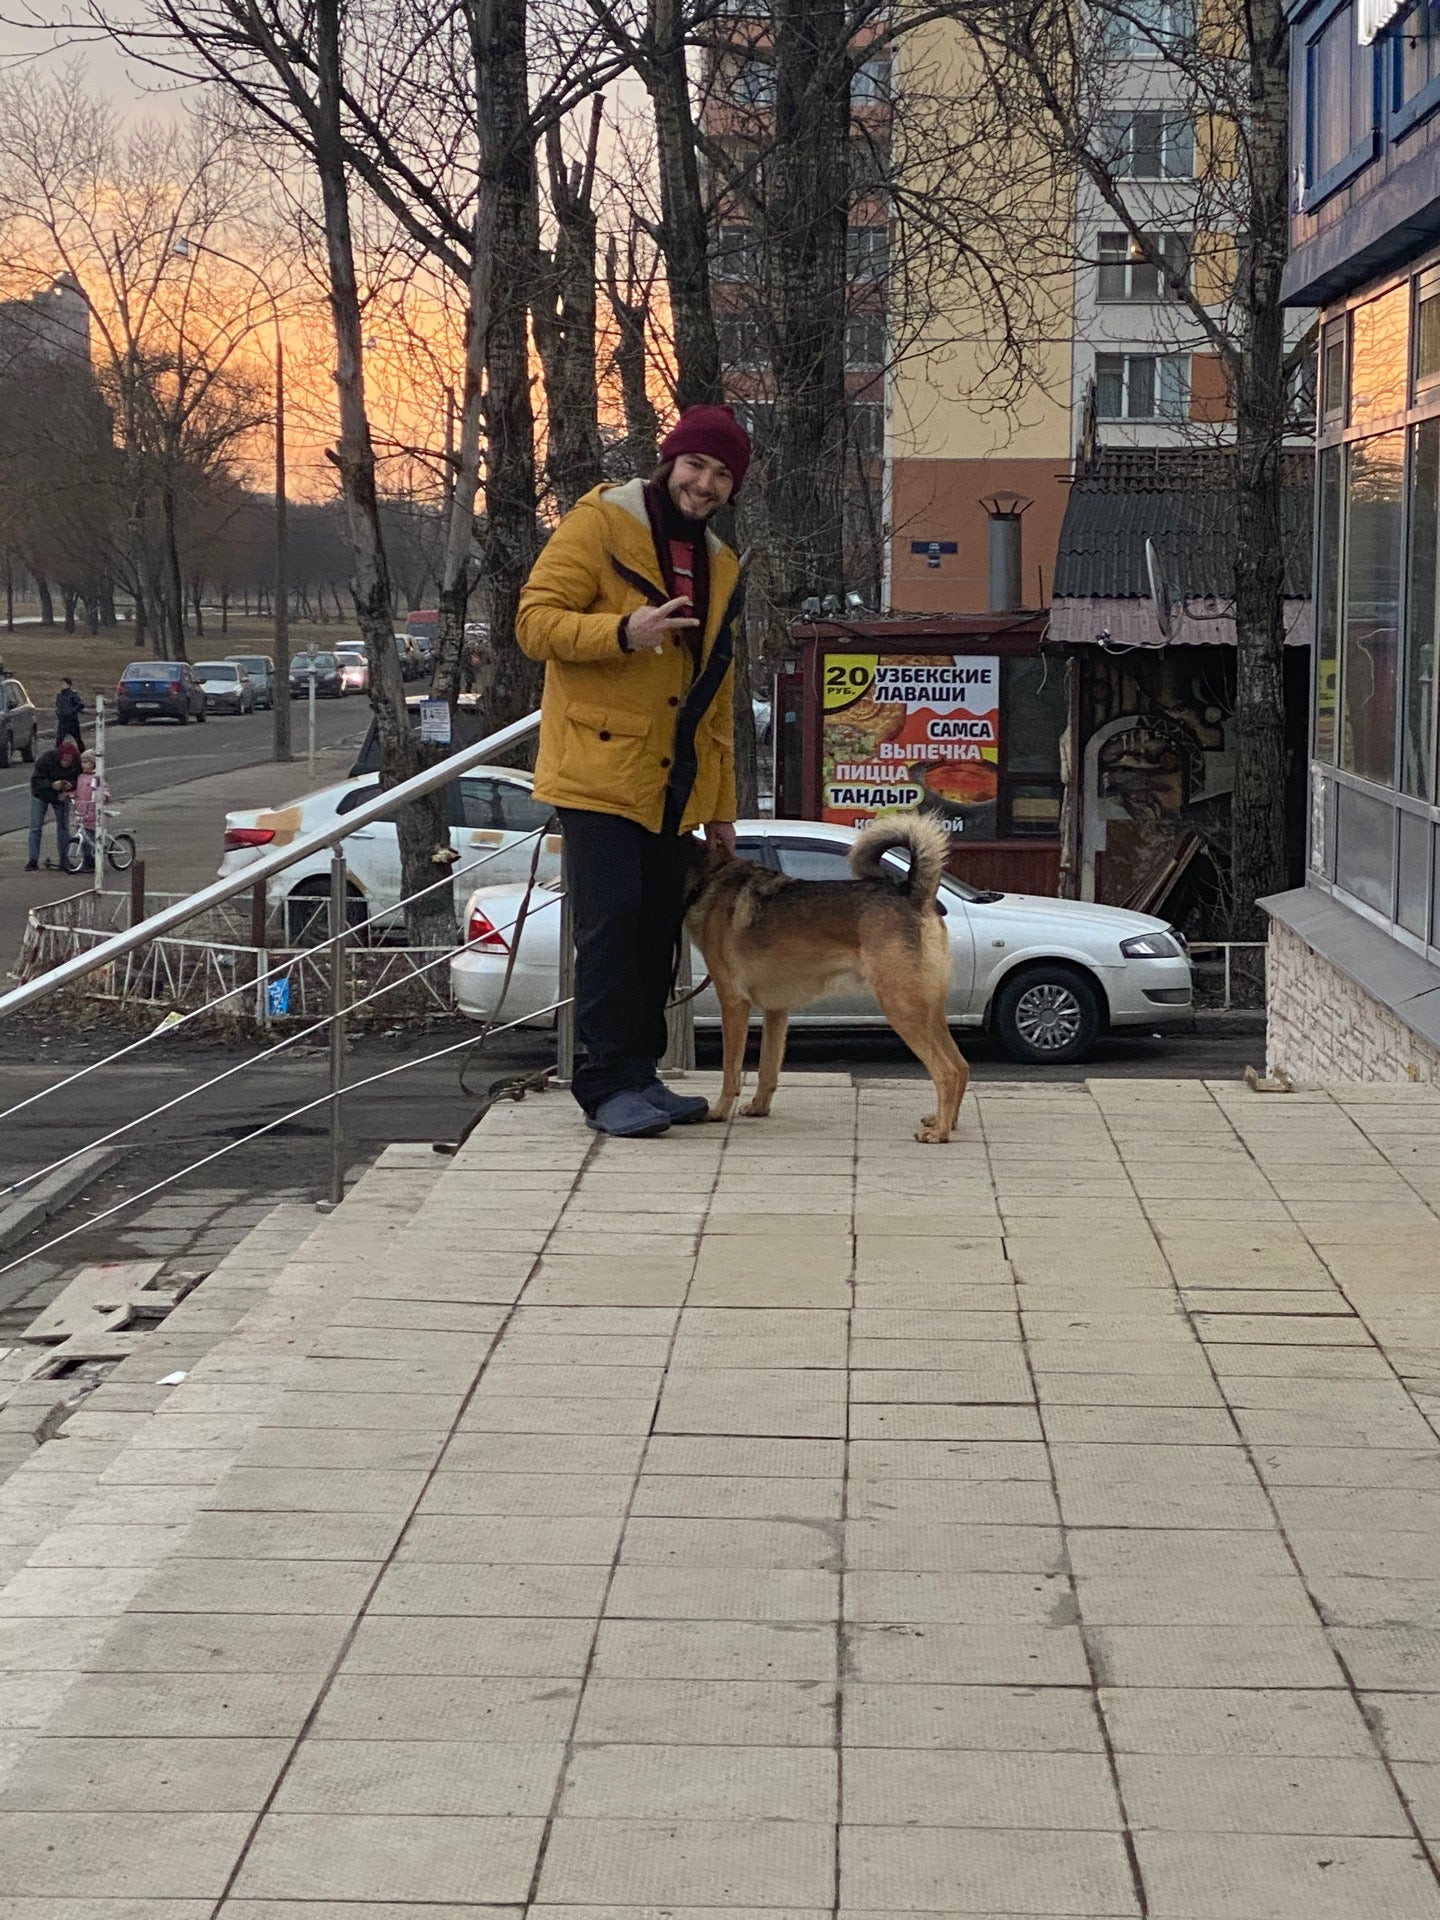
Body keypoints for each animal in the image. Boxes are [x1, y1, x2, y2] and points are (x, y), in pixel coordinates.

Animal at [683, 814, 971, 1136]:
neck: (709, 876)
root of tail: (912, 893)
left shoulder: (733, 1003)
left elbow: (730, 1070)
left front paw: (718, 1111)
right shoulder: (776, 1010)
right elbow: (767, 1068)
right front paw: (759, 1107)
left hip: (902, 1008)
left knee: (946, 1071)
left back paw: (939, 1133)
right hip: (928, 1010)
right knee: (961, 1066)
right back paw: (946, 1122)